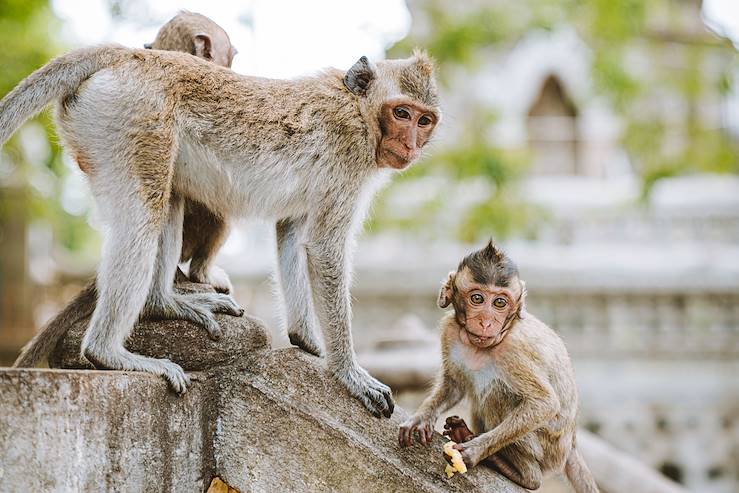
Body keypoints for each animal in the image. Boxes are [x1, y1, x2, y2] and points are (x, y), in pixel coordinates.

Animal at [398, 240, 600, 490]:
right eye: (477, 299)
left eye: (500, 302)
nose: (486, 322)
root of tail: (571, 444)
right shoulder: (450, 331)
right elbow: (454, 385)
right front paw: (421, 418)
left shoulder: (515, 350)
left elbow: (544, 403)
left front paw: (473, 452)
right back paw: (463, 432)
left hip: (547, 449)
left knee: (497, 395)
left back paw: (523, 474)